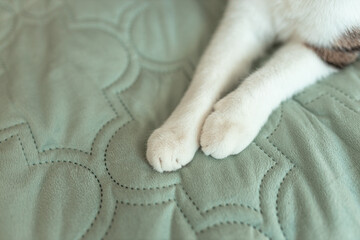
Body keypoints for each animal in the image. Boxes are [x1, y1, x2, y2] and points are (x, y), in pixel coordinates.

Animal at [146, 0, 360, 172]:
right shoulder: (244, 17)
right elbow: (210, 71)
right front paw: (174, 134)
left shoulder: (332, 46)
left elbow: (273, 74)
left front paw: (230, 121)